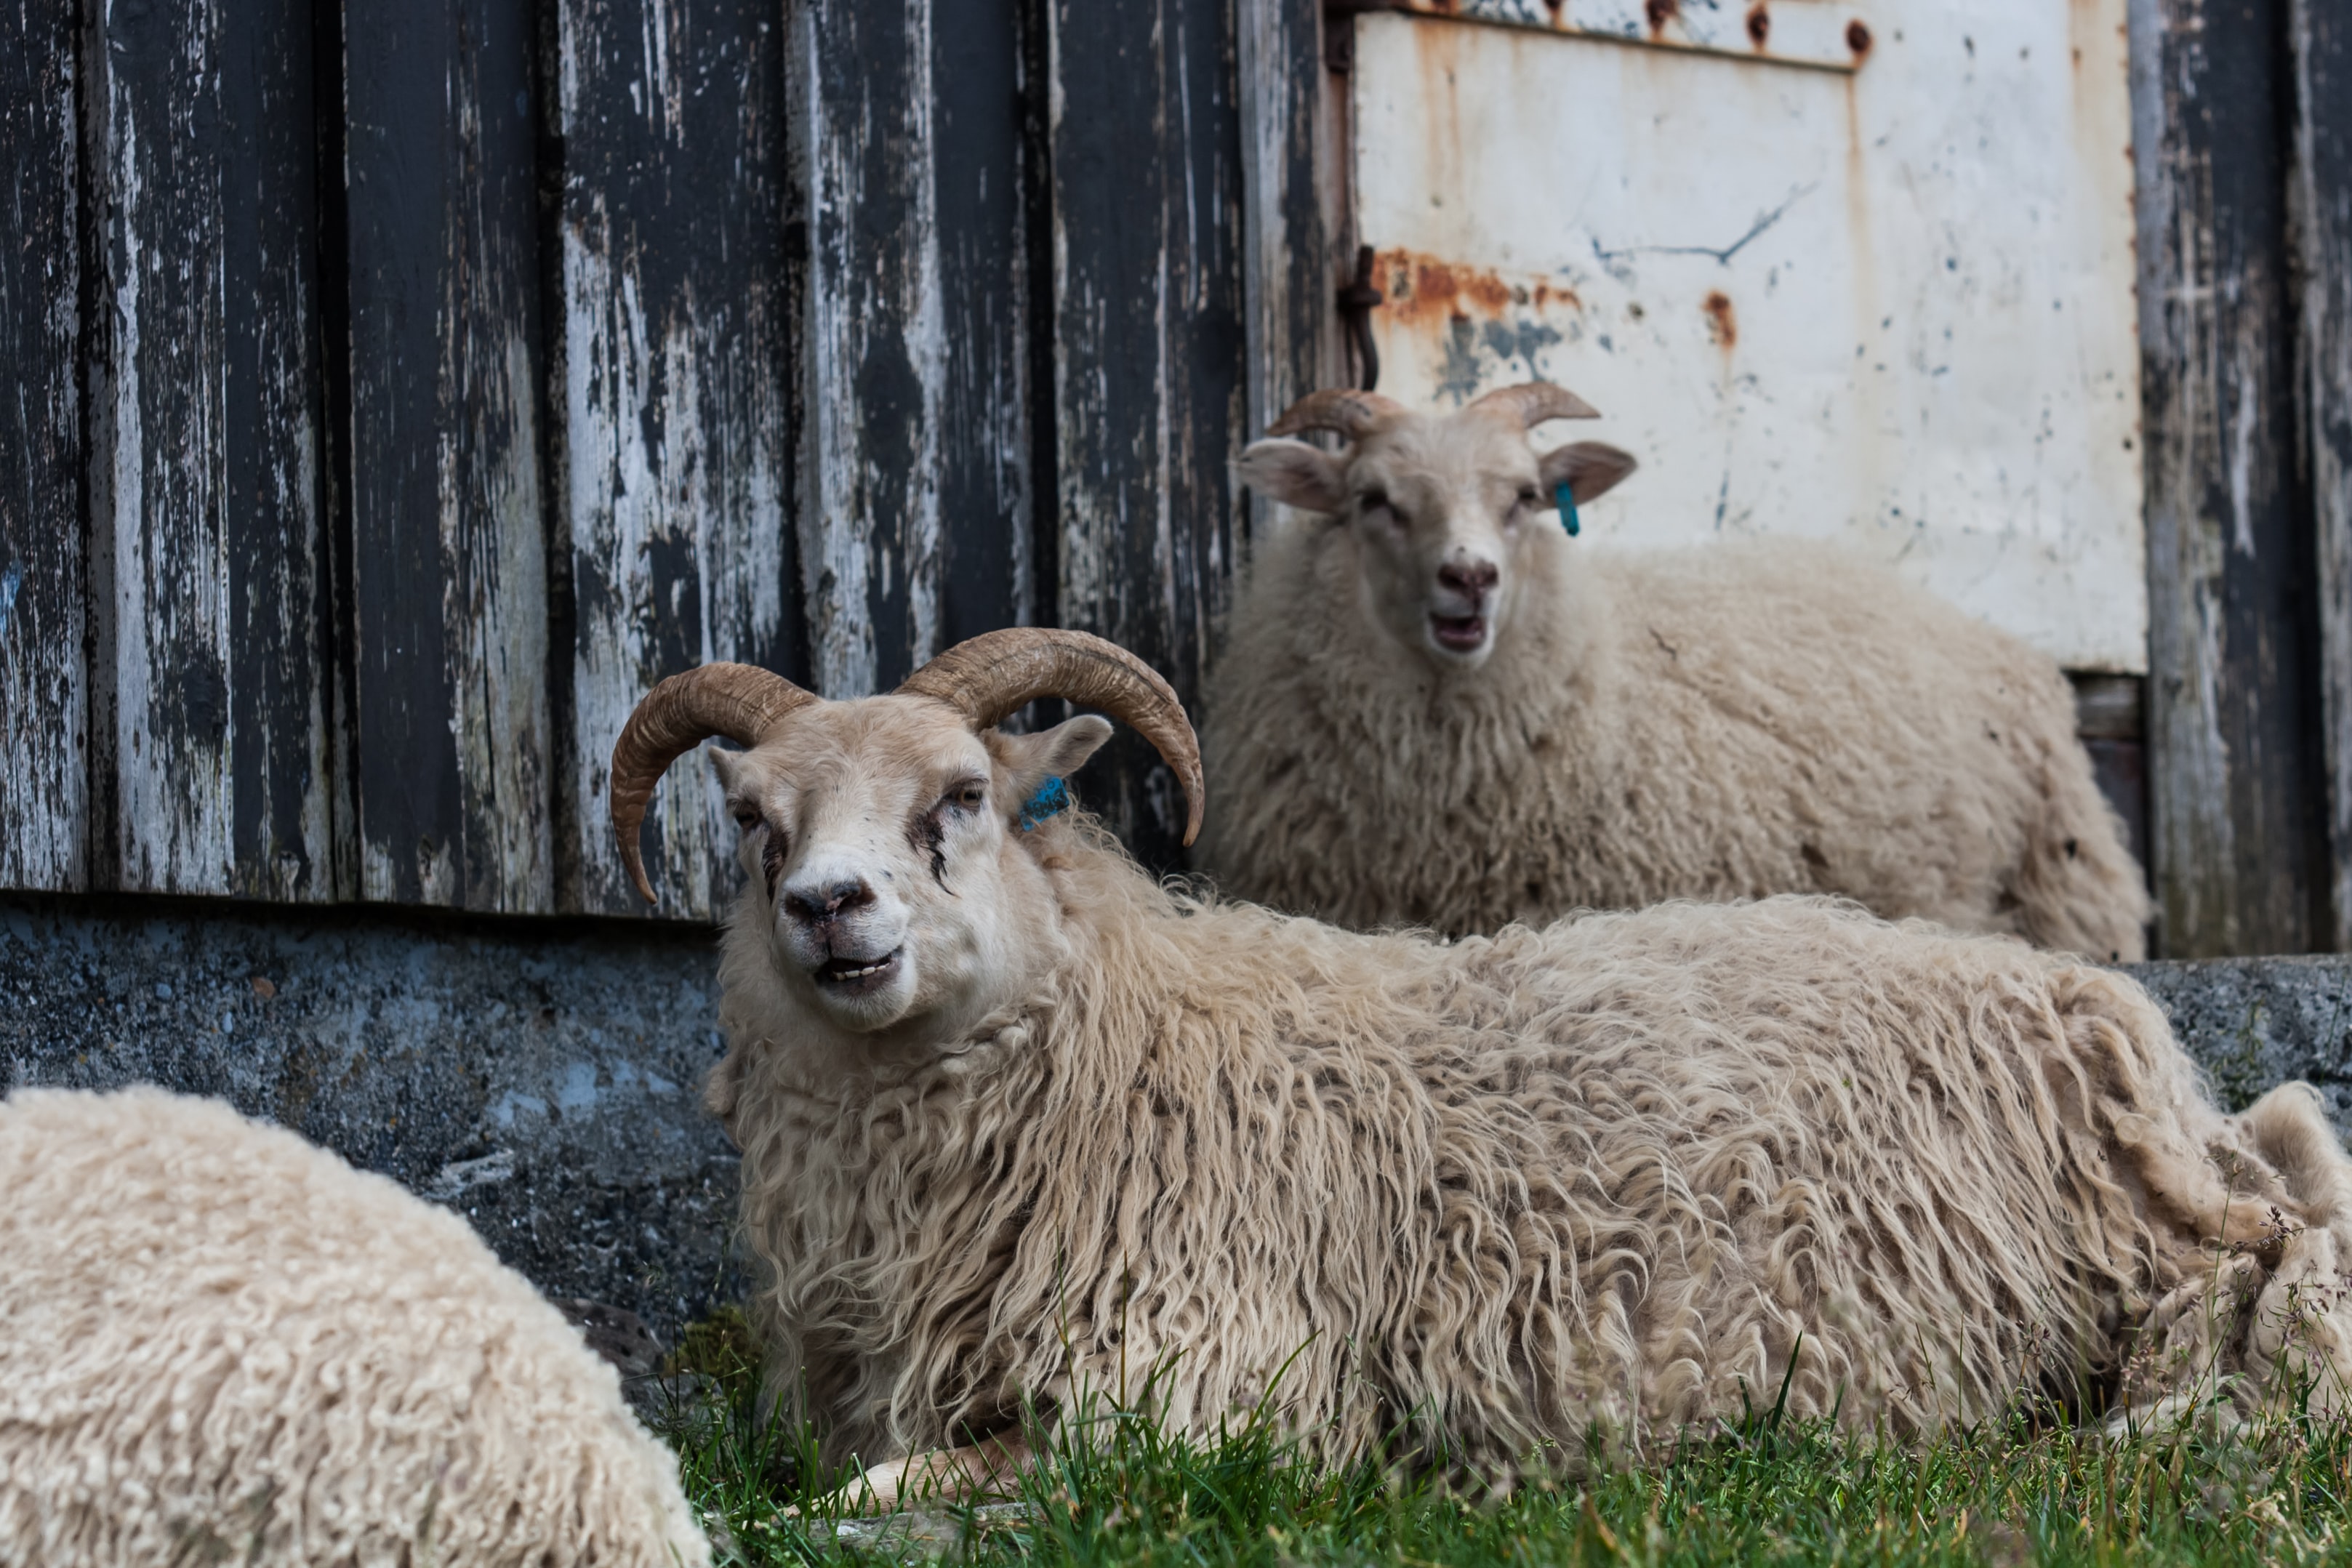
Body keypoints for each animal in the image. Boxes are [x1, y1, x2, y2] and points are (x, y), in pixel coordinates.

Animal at [611, 630, 2352, 1504]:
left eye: (962, 793)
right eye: (754, 816)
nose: (829, 909)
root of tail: (2109, 1020)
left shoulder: (1208, 1388)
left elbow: (871, 1497)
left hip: (2141, 1256)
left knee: (2272, 1294)